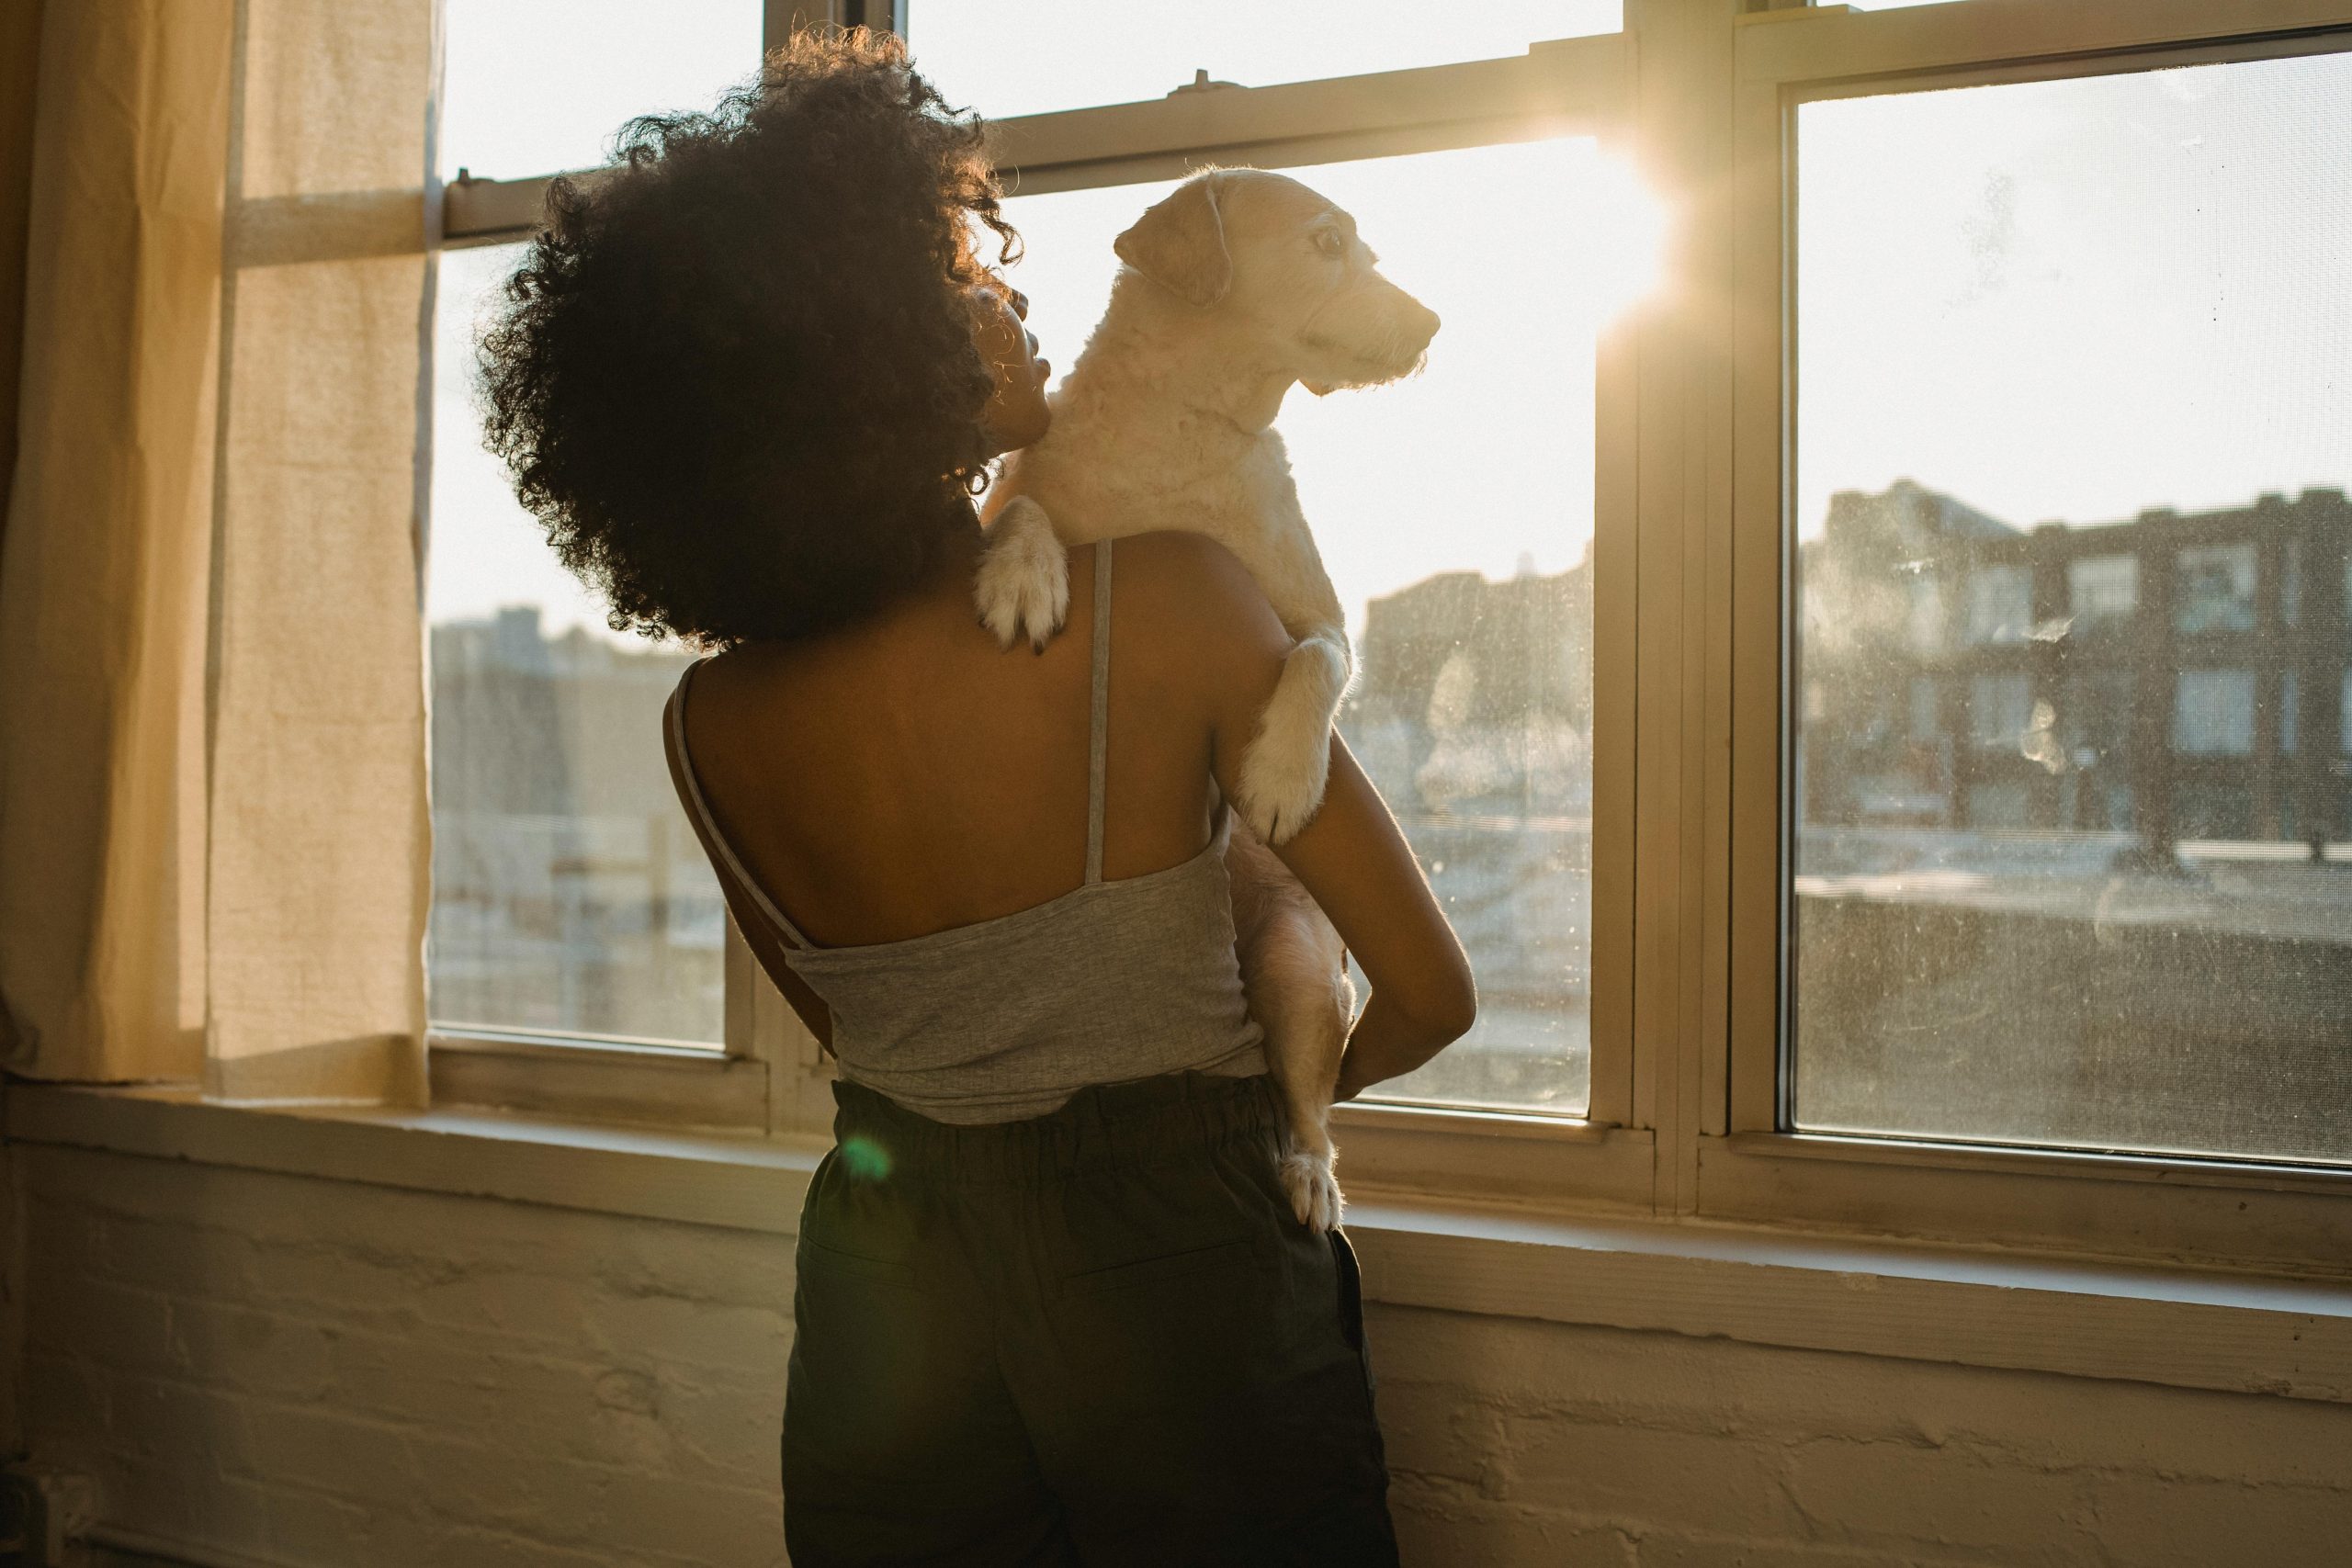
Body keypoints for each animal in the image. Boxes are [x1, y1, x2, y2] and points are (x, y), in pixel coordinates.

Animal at [968, 169, 1430, 1222]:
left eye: (1370, 250)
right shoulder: (1020, 492)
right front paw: (1024, 575)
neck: (1189, 422)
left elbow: (1318, 661)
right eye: (1327, 242)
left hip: (1303, 972)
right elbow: (1022, 508)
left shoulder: (1322, 616)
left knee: (1309, 1113)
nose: (1434, 321)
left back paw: (1306, 1175)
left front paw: (1281, 781)